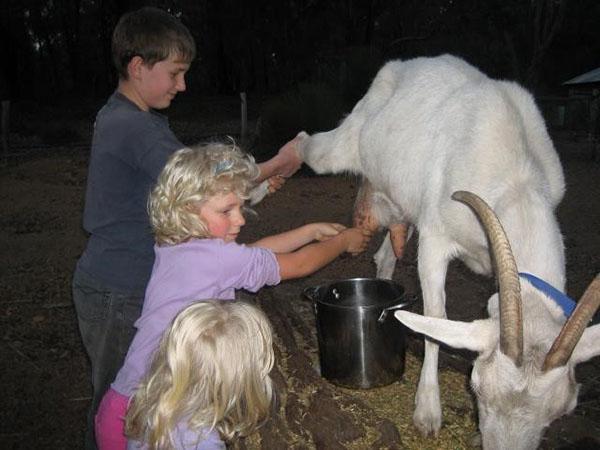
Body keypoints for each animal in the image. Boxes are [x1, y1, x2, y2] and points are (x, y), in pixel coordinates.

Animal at [296, 55, 596, 446]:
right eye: (477, 387)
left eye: (562, 412)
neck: (516, 180)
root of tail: (402, 66)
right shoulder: (435, 238)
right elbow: (435, 316)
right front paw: (427, 412)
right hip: (346, 143)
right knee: (312, 148)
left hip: (401, 205)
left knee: (386, 255)